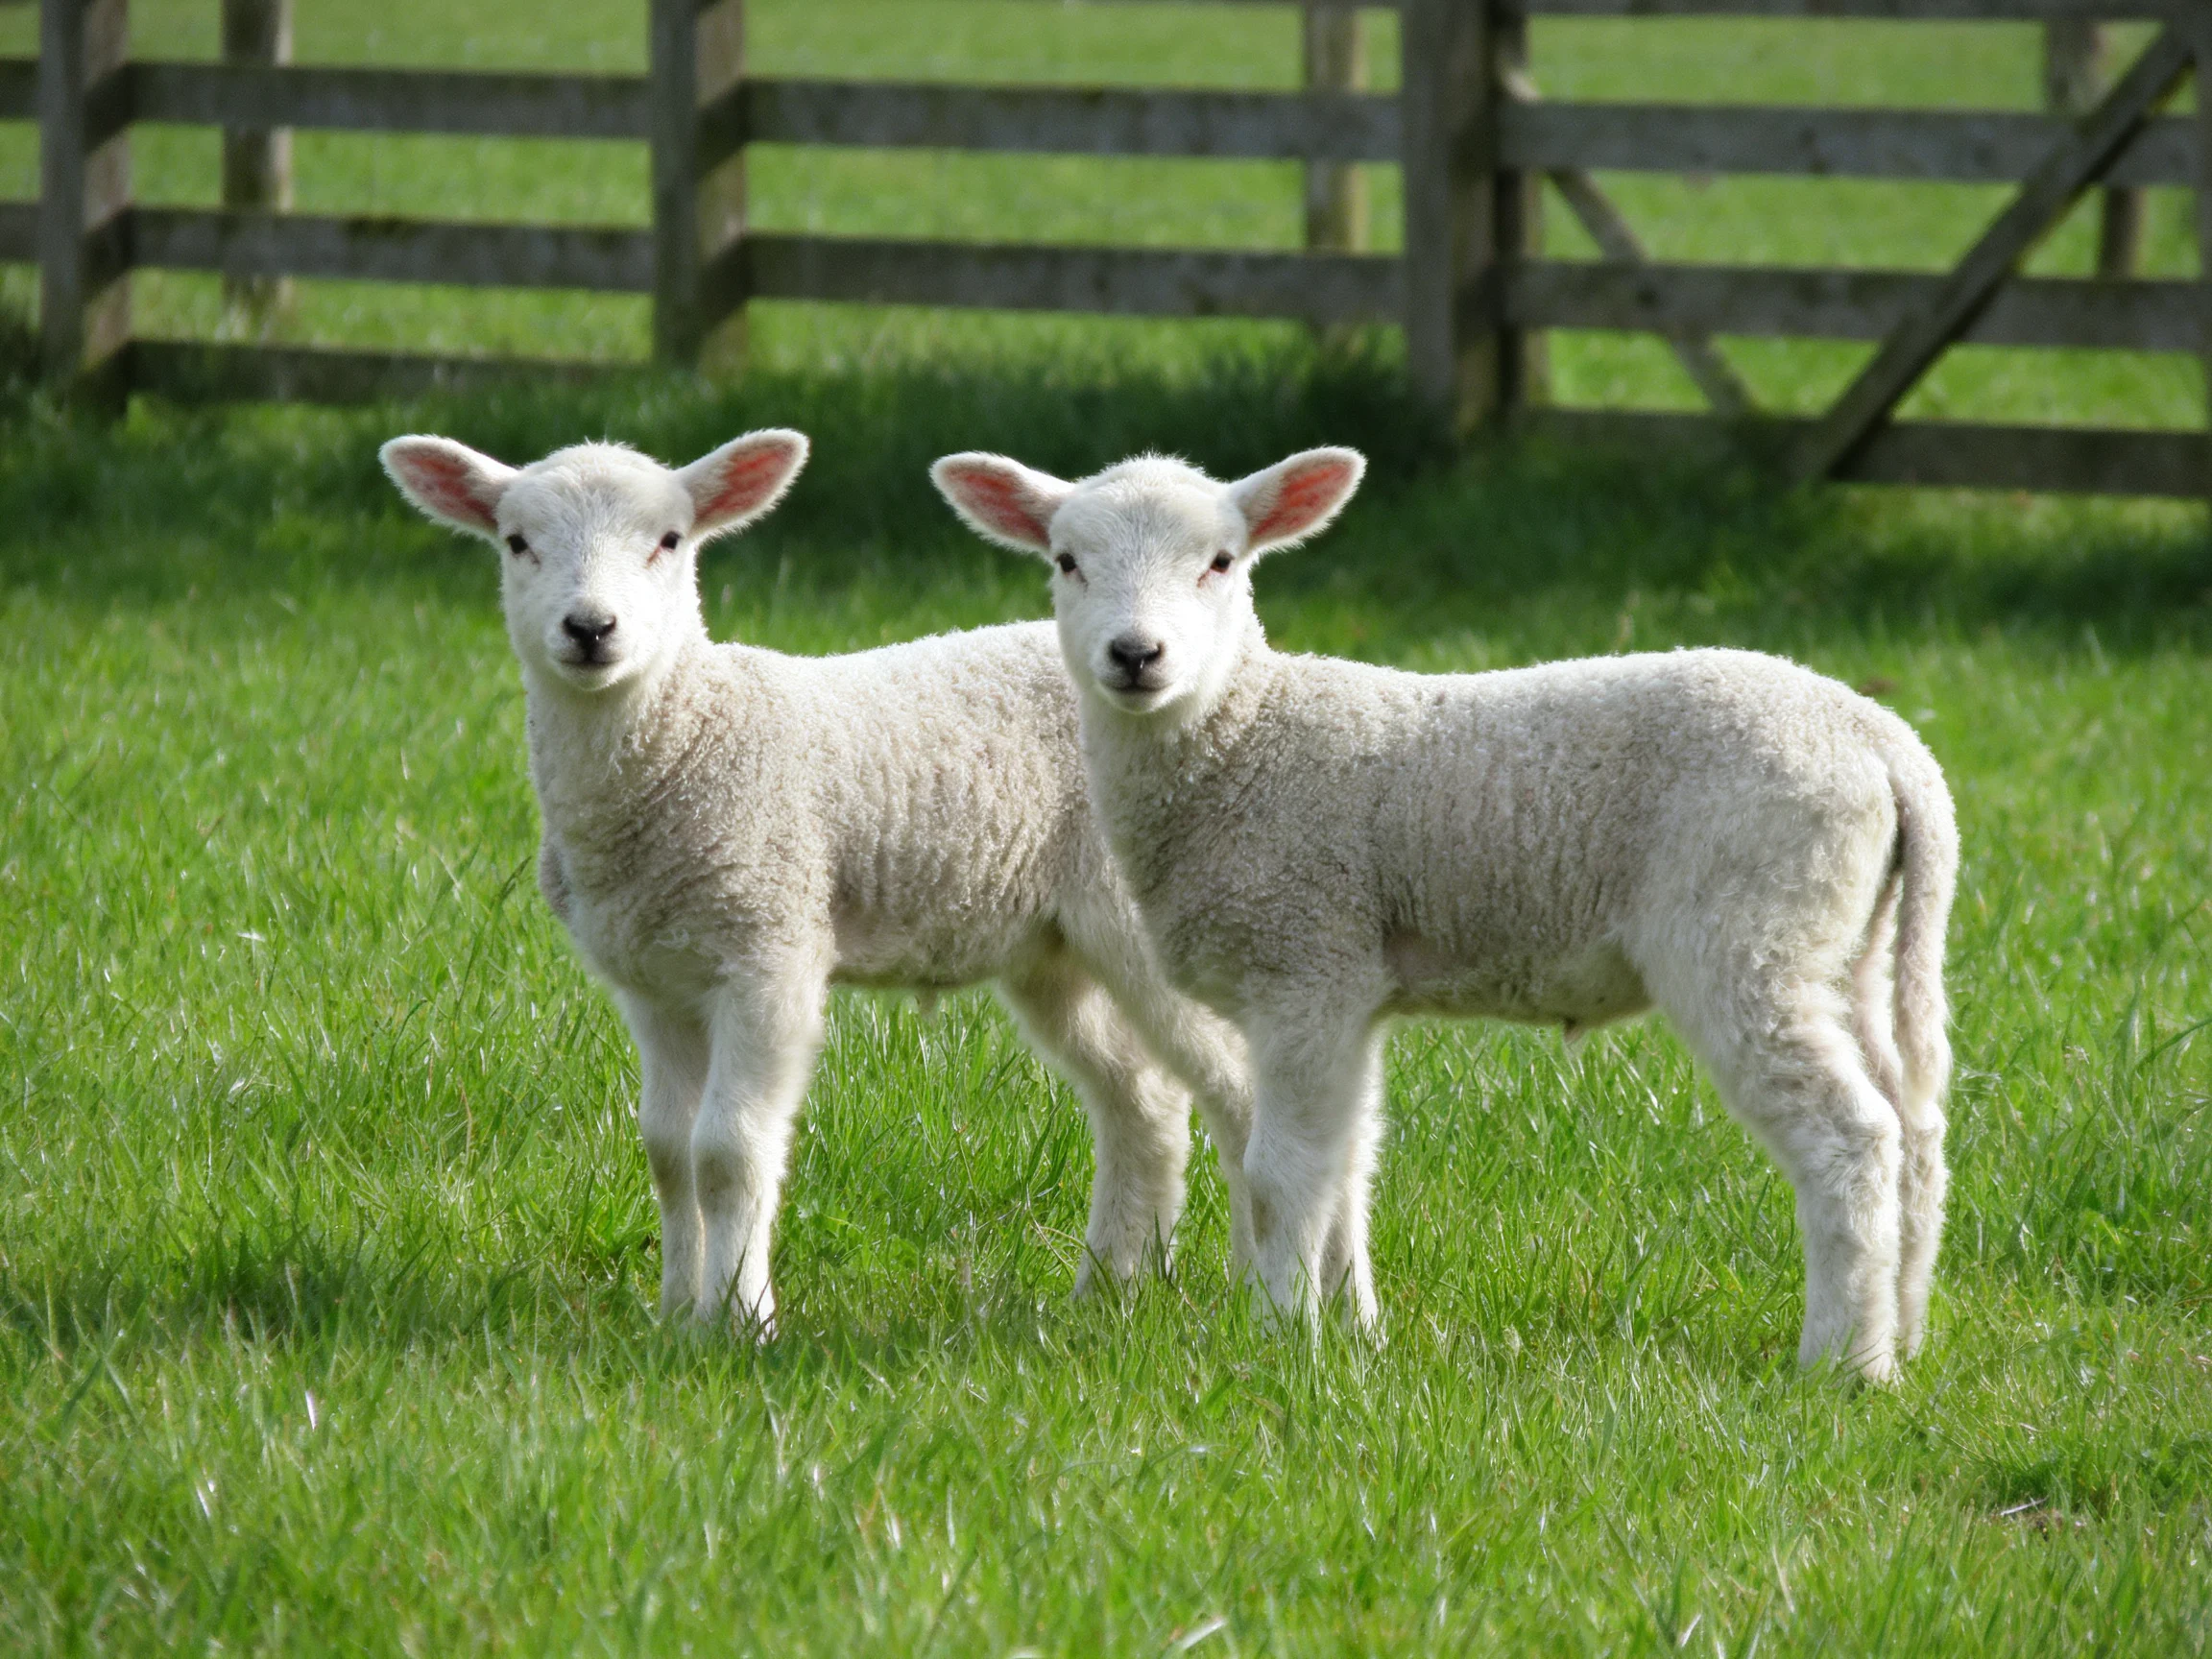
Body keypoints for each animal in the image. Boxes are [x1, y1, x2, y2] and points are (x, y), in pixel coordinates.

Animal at [381, 429, 1253, 1333]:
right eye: (517, 543)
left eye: (669, 541)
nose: (590, 629)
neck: (691, 739)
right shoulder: (654, 982)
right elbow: (667, 1151)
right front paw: (676, 1316)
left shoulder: (770, 950)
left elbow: (726, 1152)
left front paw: (740, 1320)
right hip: (1056, 952)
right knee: (1143, 1101)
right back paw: (1110, 1291)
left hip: (1155, 919)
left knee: (1240, 1089)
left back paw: (1255, 1295)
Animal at [931, 446, 1958, 1383]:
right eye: (1067, 560)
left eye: (1220, 561)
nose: (1137, 656)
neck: (1246, 737)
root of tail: (1885, 744)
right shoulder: (1347, 987)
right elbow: (1349, 1164)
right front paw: (1352, 1331)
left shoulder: (1306, 963)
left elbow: (1282, 1173)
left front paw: (1278, 1339)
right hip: (1842, 938)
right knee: (1914, 1127)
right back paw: (1902, 1335)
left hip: (1747, 929)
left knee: (1849, 1136)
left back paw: (1841, 1366)